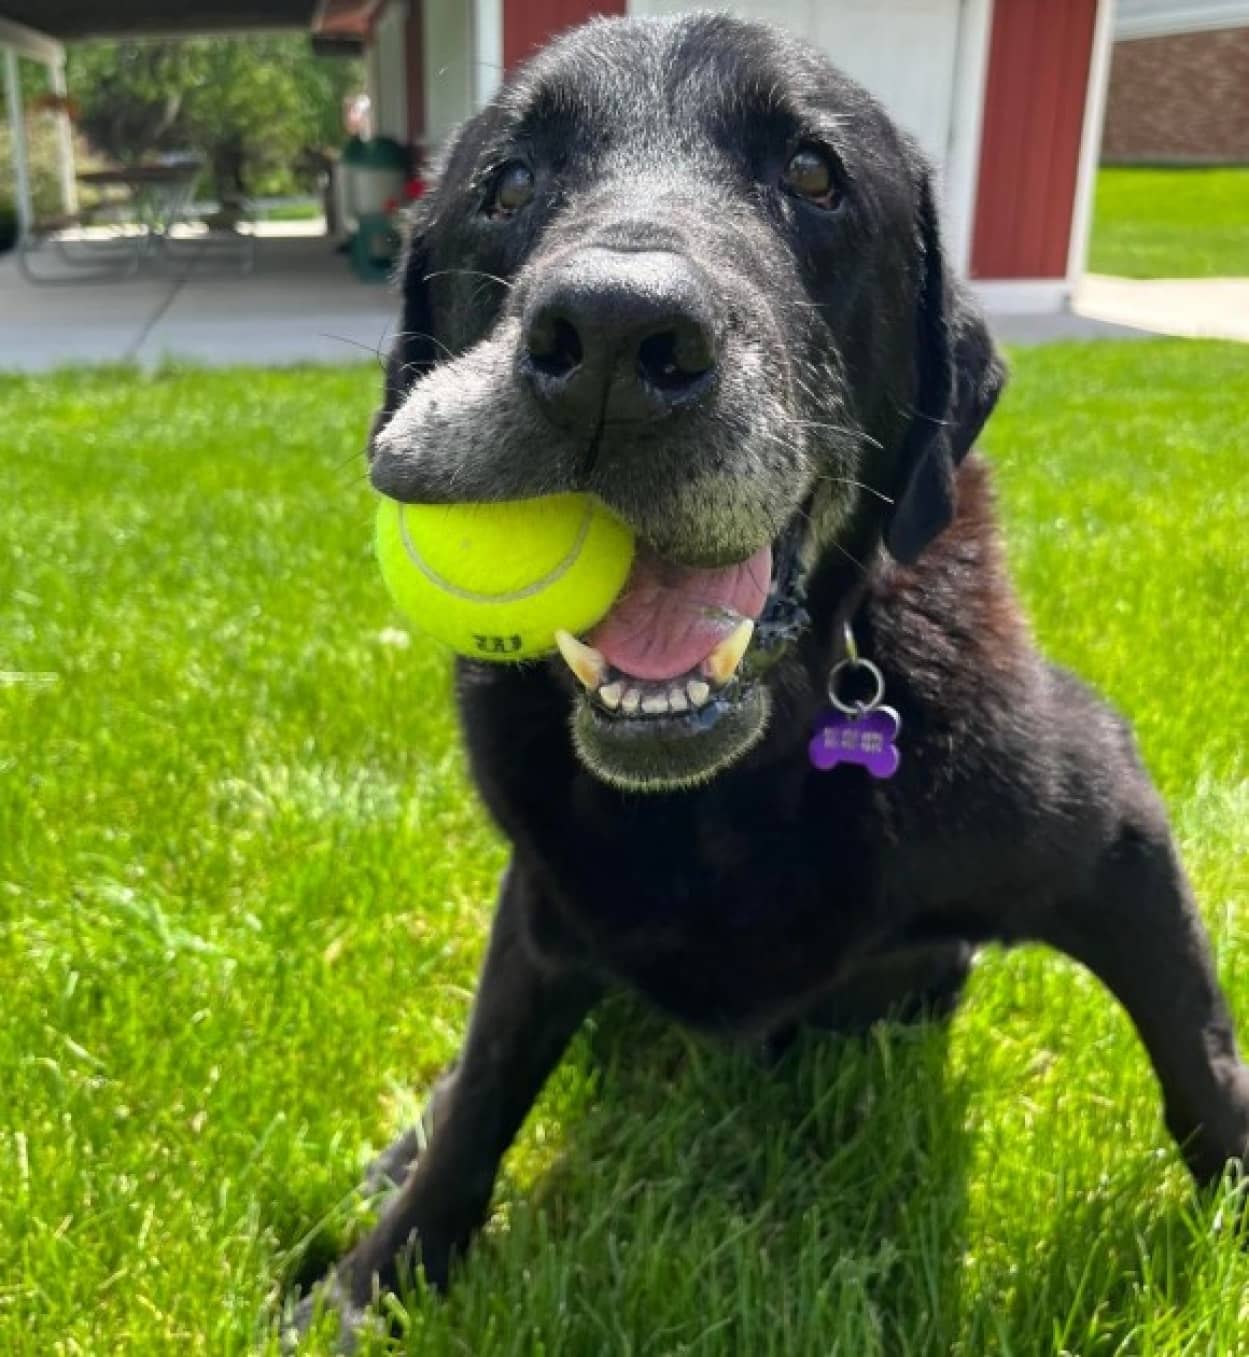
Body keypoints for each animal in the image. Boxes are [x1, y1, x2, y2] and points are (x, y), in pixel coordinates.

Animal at [290, 10, 1249, 1340]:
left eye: (811, 174)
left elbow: (1198, 1056)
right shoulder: (542, 903)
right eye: (508, 183)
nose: (612, 338)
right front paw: (373, 1279)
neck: (730, 784)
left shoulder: (1109, 818)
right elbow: (480, 1096)